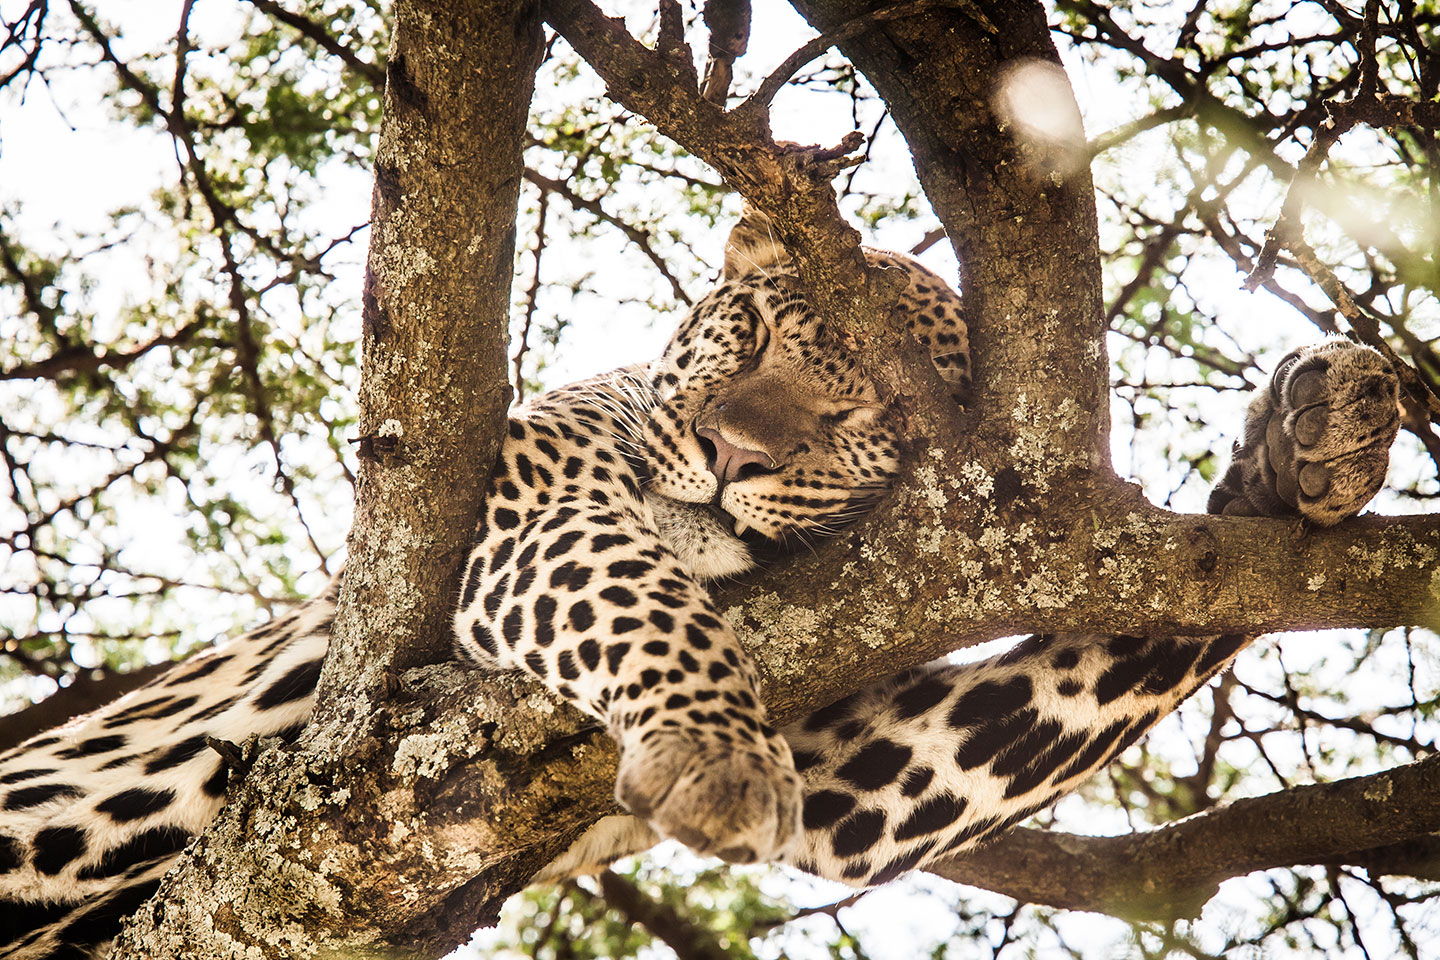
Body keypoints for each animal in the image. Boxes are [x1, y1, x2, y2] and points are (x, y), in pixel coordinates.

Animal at [0, 208, 1400, 959]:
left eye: (878, 415)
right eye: (763, 326)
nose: (733, 452)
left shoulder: (853, 779)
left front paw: (1305, 450)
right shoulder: (517, 503)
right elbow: (633, 586)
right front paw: (716, 751)